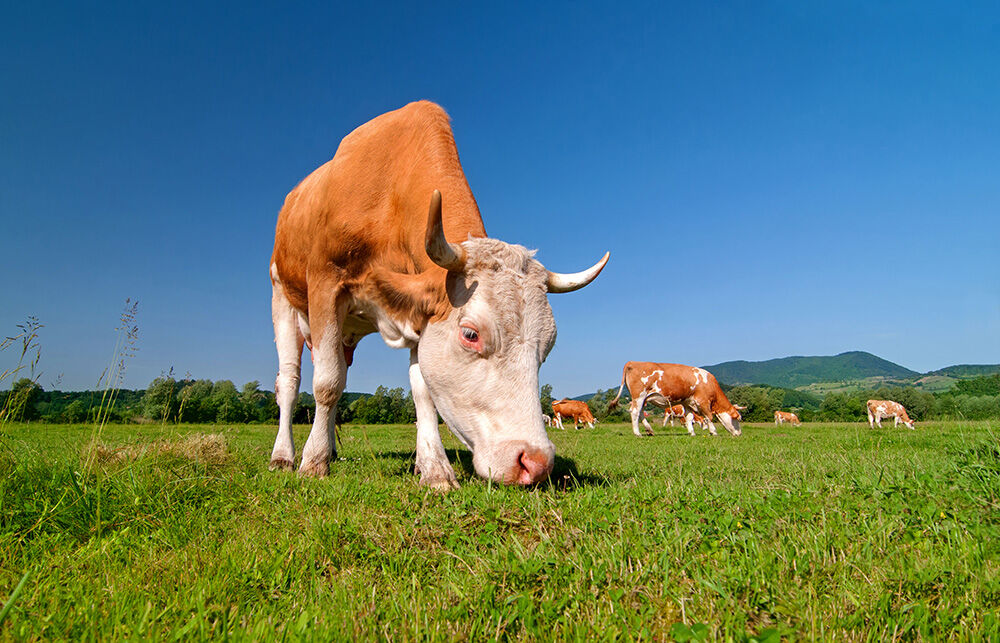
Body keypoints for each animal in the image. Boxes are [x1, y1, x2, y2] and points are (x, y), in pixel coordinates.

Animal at [268, 101, 609, 489]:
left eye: (548, 347)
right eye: (471, 334)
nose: (535, 463)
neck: (389, 193)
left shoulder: (421, 311)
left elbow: (423, 391)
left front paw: (433, 468)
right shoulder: (326, 282)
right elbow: (327, 382)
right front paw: (314, 462)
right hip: (283, 296)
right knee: (290, 382)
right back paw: (284, 456)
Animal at [608, 362, 742, 437]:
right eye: (738, 419)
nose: (740, 434)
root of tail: (632, 362)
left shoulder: (687, 402)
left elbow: (689, 418)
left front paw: (692, 433)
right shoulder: (703, 401)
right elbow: (709, 417)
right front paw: (713, 432)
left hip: (644, 398)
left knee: (640, 412)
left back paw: (649, 430)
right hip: (639, 395)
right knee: (635, 412)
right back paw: (638, 433)